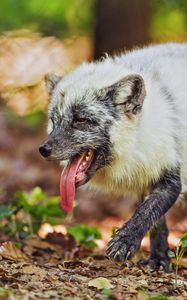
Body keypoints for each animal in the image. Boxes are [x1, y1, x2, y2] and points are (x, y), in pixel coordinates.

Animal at [38, 43, 187, 270]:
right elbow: (156, 224)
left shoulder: (170, 174)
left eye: (81, 120)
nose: (43, 150)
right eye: (54, 121)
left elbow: (146, 212)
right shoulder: (148, 175)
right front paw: (159, 259)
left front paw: (124, 242)